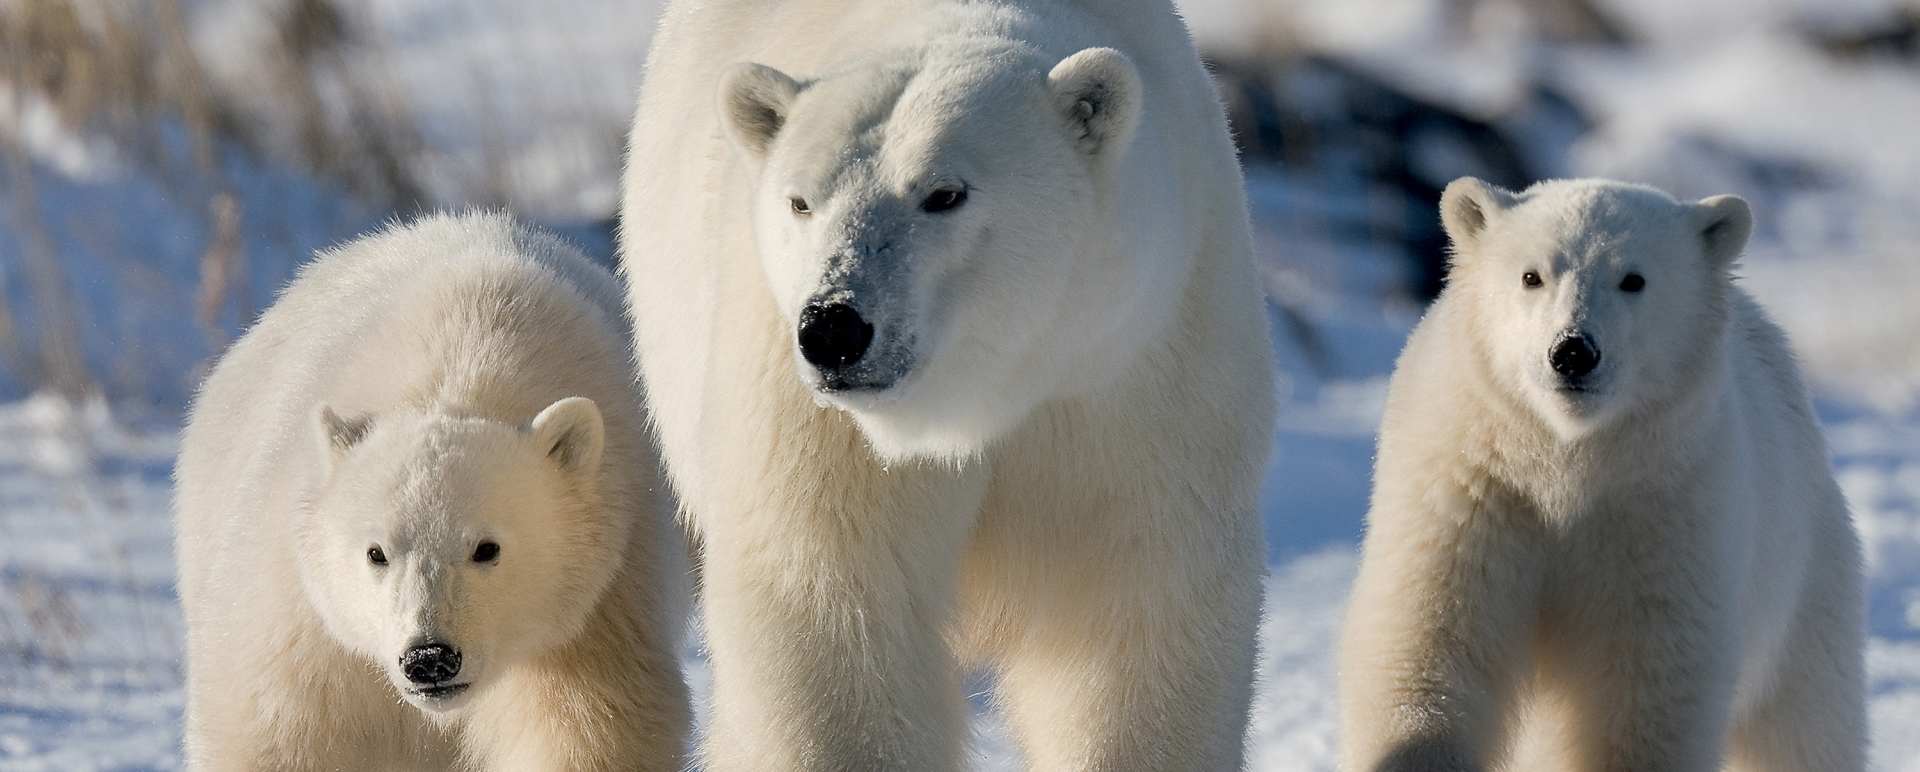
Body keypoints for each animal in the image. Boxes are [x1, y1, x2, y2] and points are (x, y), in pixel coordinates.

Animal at [173, 213, 691, 771]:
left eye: (487, 548)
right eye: (376, 552)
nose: (429, 659)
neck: (463, 362)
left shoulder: (596, 612)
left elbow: (588, 732)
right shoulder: (309, 629)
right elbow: (281, 733)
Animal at [617, 0, 1276, 769]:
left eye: (944, 194)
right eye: (800, 201)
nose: (834, 328)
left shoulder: (1136, 367)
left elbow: (1135, 606)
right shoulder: (814, 420)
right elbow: (836, 609)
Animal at [1337, 177, 1866, 772]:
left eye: (1633, 278)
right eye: (1532, 275)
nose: (1572, 352)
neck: (1564, 459)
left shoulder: (1660, 507)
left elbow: (1645, 685)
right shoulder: (1472, 490)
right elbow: (1431, 642)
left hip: (1805, 586)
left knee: (1804, 726)